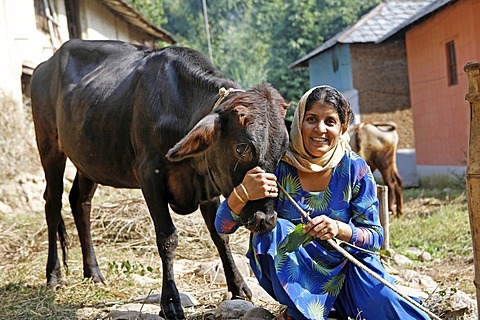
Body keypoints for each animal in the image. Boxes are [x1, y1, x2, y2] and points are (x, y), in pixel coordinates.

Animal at [31, 38, 288, 318]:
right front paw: (171, 302)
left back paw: (94, 273)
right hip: (49, 146)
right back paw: (54, 275)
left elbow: (219, 235)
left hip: (88, 159)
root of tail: (45, 65)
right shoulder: (149, 178)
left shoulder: (206, 183)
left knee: (80, 202)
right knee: (52, 203)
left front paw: (238, 286)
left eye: (283, 148)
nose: (266, 219)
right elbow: (167, 237)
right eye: (241, 148)